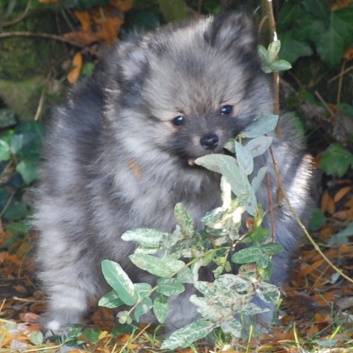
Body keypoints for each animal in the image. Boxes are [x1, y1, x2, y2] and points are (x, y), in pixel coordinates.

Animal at [33, 12, 314, 334]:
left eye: (226, 109)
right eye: (178, 120)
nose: (209, 139)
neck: (208, 179)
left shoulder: (266, 232)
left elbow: (255, 278)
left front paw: (252, 320)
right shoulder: (165, 245)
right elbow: (182, 287)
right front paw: (189, 324)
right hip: (67, 219)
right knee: (67, 271)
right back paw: (62, 318)